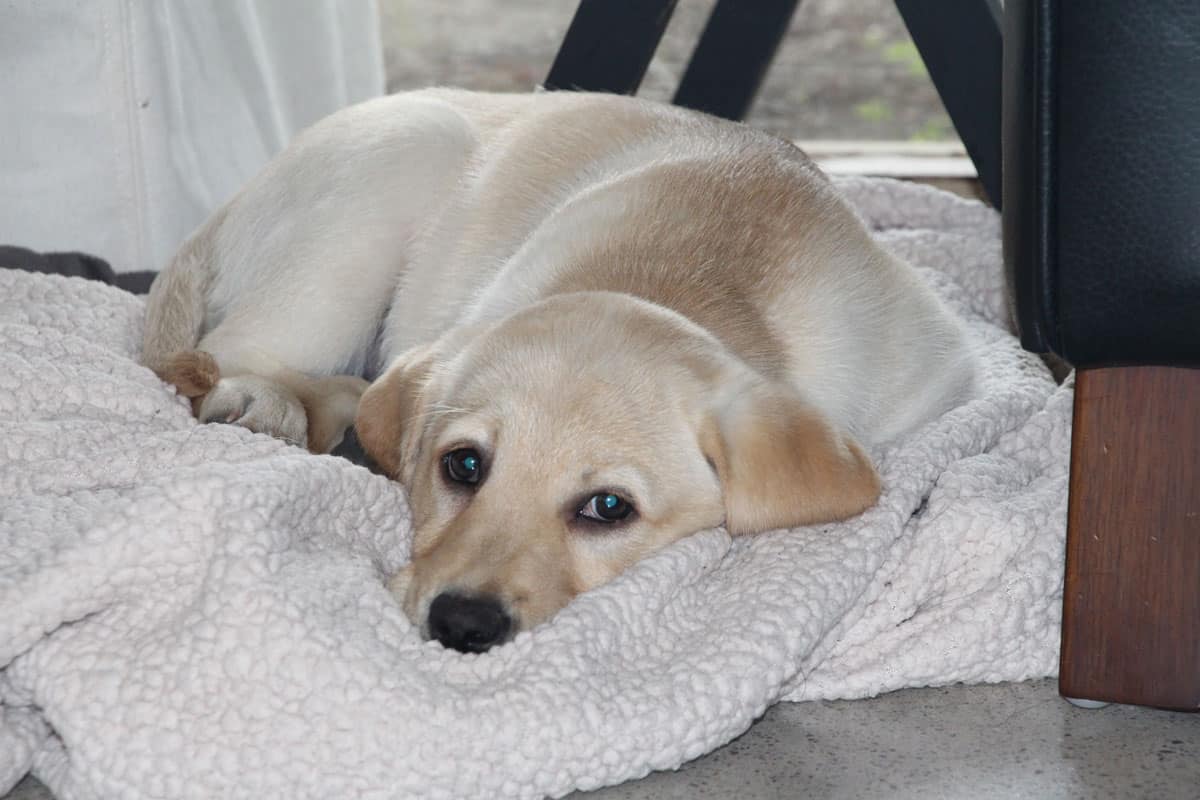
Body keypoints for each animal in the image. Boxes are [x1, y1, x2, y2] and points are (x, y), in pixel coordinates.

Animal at [140, 87, 974, 652]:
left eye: (608, 508)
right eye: (463, 465)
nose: (462, 624)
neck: (667, 276)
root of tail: (229, 206)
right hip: (389, 179)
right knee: (239, 350)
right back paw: (270, 404)